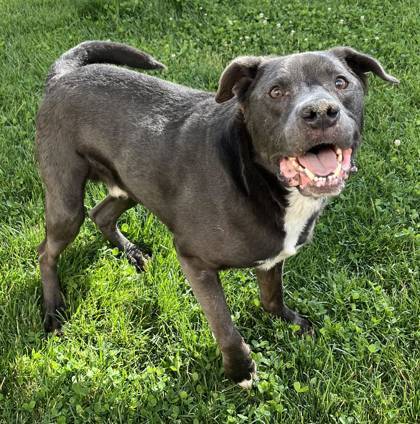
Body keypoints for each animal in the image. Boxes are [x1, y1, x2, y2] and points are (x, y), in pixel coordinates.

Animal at [35, 42, 398, 388]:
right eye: (275, 92)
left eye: (341, 82)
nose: (321, 112)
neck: (254, 176)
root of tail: (64, 74)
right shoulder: (194, 261)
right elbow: (224, 327)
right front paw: (240, 369)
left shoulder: (273, 256)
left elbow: (271, 297)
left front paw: (290, 322)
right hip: (67, 203)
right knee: (46, 251)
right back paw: (53, 308)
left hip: (130, 185)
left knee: (101, 214)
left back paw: (131, 252)